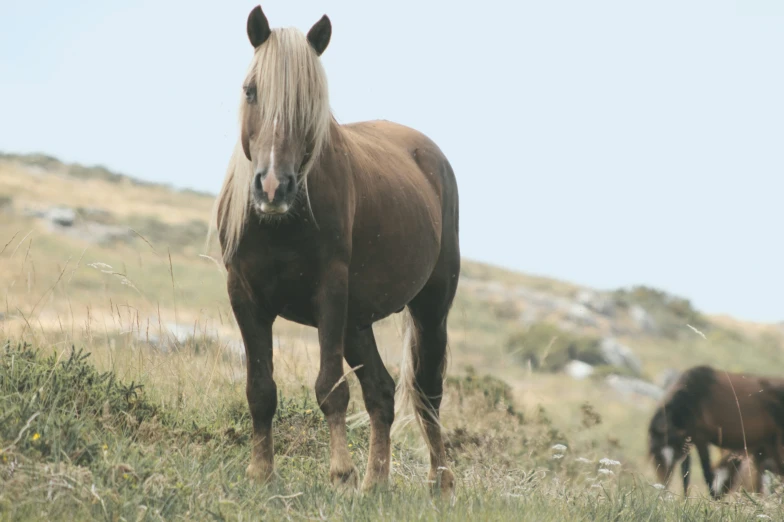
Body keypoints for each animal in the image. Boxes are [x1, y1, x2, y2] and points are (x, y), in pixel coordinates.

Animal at [211, 7, 462, 496]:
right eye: (251, 90)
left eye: (311, 103)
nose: (274, 186)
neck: (279, 225)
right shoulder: (244, 295)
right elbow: (260, 389)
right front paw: (261, 474)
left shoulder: (328, 292)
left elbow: (330, 388)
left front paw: (340, 474)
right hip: (357, 320)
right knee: (382, 392)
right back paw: (375, 483)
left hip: (429, 308)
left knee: (426, 394)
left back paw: (438, 483)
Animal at [648, 364, 784, 498]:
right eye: (655, 457)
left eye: (670, 458)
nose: (663, 488)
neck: (692, 399)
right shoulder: (686, 441)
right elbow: (685, 474)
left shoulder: (700, 439)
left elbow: (707, 473)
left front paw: (714, 498)